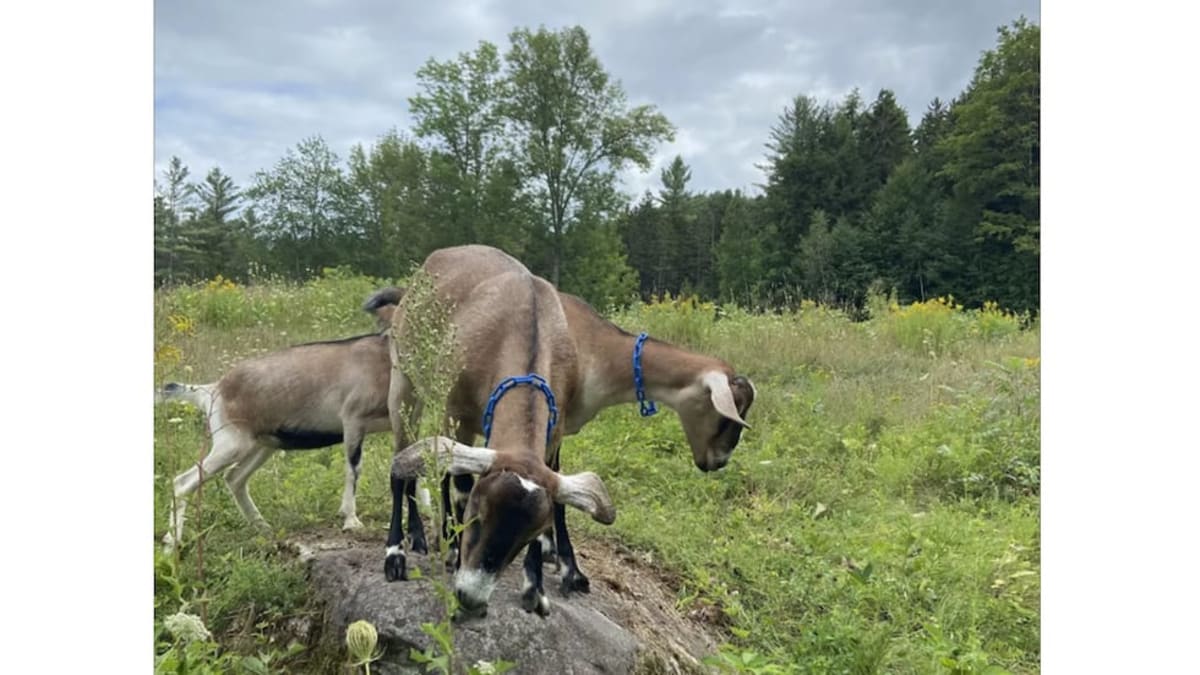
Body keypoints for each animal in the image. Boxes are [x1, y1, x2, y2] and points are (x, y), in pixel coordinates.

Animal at [156, 290, 405, 552]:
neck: (383, 356)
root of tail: (213, 390)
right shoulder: (353, 421)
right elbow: (354, 469)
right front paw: (351, 520)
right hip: (231, 445)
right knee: (182, 482)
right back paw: (171, 544)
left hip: (263, 446)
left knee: (234, 479)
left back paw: (263, 529)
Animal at [383, 245, 617, 618]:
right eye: (477, 517)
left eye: (526, 537)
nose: (471, 598)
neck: (522, 326)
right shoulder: (457, 414)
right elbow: (458, 485)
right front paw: (453, 555)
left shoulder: (555, 431)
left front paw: (535, 590)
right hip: (405, 382)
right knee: (403, 464)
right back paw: (399, 553)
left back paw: (421, 536)